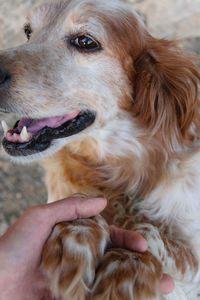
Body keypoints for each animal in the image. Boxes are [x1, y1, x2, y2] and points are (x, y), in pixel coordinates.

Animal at [0, 0, 200, 298]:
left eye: (85, 41)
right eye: (28, 31)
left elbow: (145, 229)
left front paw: (126, 270)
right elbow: (86, 206)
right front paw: (77, 239)